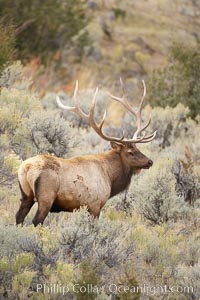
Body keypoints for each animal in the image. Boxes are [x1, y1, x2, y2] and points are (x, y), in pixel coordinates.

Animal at [16, 78, 156, 226]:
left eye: (138, 148)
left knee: (19, 217)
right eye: (130, 152)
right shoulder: (95, 204)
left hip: (26, 195)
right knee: (36, 221)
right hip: (46, 196)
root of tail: (26, 168)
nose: (150, 161)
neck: (110, 177)